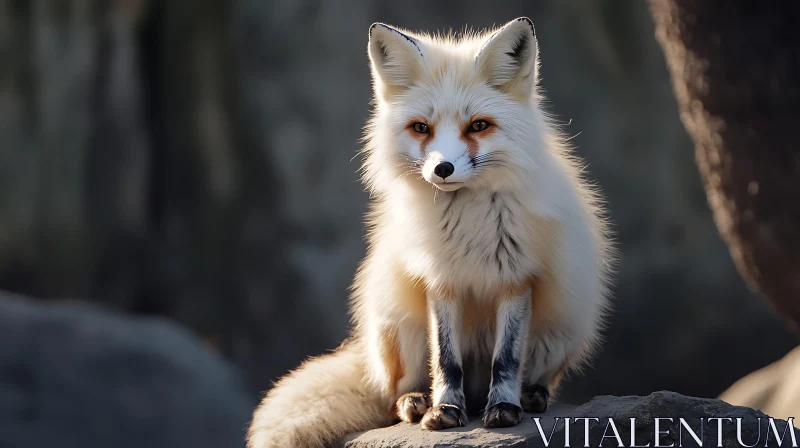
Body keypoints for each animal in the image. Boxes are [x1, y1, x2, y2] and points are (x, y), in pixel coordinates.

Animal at [247, 15, 616, 446]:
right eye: (422, 128)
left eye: (478, 126)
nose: (442, 169)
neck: (469, 223)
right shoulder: (439, 279)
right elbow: (446, 359)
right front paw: (445, 410)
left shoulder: (518, 278)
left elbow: (506, 359)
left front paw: (504, 409)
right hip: (398, 327)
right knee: (393, 393)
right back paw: (416, 402)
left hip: (563, 326)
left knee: (538, 377)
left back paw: (530, 396)